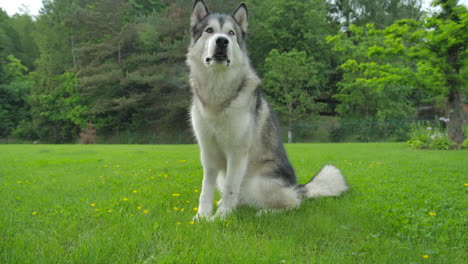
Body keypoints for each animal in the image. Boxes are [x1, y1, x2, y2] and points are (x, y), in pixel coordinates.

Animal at [186, 0, 348, 221]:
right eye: (209, 30)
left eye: (231, 33)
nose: (222, 41)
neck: (218, 93)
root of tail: (297, 187)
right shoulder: (208, 153)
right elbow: (205, 190)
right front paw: (202, 218)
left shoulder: (237, 153)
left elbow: (230, 188)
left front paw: (221, 218)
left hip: (256, 182)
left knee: (293, 203)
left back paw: (264, 212)